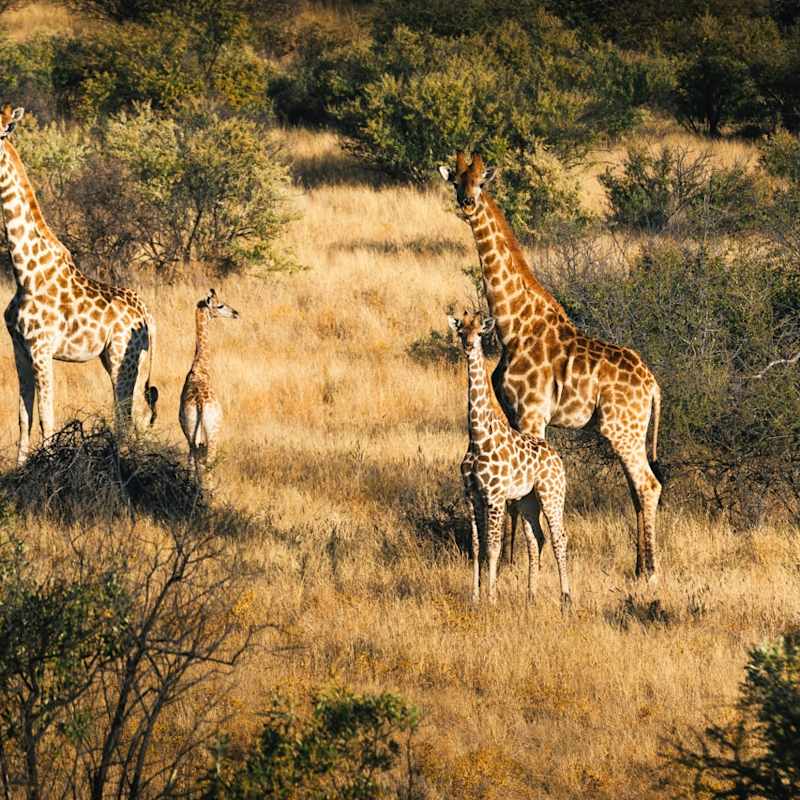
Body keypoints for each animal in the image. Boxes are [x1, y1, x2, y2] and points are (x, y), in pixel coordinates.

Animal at [0, 105, 158, 464]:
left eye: (4, 131)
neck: (24, 272)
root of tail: (148, 317)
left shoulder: (41, 348)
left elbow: (46, 415)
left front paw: (45, 464)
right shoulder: (19, 349)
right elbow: (23, 416)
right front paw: (21, 467)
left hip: (122, 357)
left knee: (124, 414)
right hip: (127, 361)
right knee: (136, 415)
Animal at [179, 288, 239, 470]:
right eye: (220, 305)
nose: (236, 313)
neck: (200, 368)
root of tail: (200, 405)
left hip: (193, 436)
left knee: (194, 464)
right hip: (212, 435)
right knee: (206, 464)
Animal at [452, 311, 570, 608]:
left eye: (480, 333)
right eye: (461, 332)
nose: (468, 346)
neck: (477, 436)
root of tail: (557, 457)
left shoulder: (494, 496)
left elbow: (493, 548)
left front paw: (492, 598)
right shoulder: (471, 495)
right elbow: (477, 546)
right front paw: (475, 597)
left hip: (551, 493)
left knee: (559, 537)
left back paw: (566, 599)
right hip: (526, 500)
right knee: (536, 538)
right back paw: (531, 596)